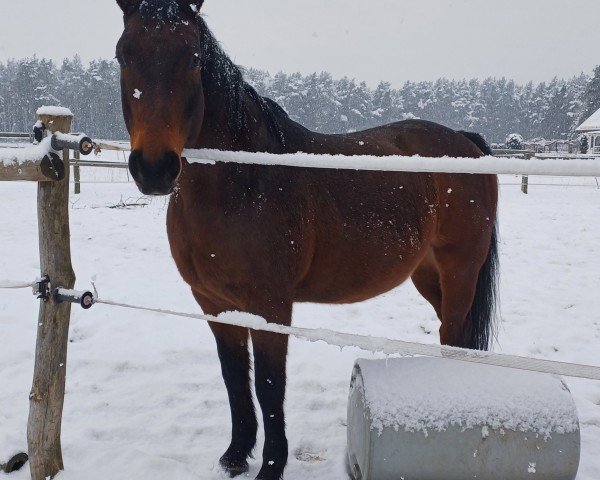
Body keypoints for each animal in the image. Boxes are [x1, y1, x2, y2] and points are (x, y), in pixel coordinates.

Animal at [115, 1, 500, 478]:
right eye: (123, 55)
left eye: (193, 58)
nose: (154, 168)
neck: (243, 181)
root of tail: (466, 141)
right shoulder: (214, 303)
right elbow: (234, 378)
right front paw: (235, 456)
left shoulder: (271, 305)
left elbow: (268, 385)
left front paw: (270, 465)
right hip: (429, 276)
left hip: (460, 271)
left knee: (456, 338)